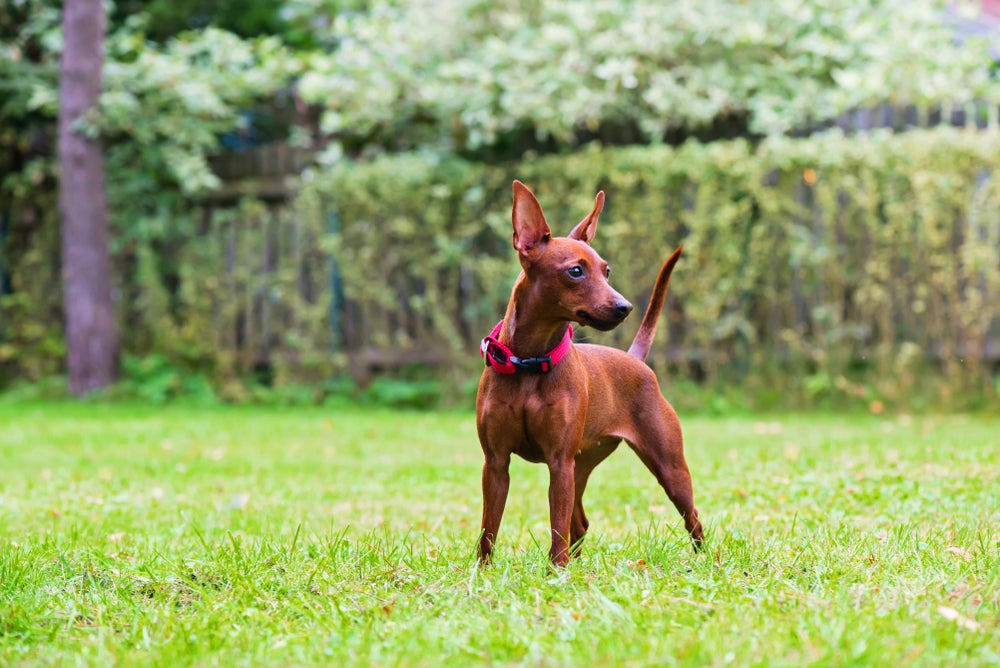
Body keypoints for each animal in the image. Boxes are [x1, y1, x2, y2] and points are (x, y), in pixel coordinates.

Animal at [476, 180, 704, 568]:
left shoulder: (559, 463)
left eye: (606, 270)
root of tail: (635, 360)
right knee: (580, 522)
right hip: (581, 465)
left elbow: (557, 527)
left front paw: (556, 572)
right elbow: (489, 529)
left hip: (667, 469)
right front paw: (482, 572)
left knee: (694, 518)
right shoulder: (495, 463)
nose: (625, 306)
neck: (529, 361)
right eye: (575, 271)